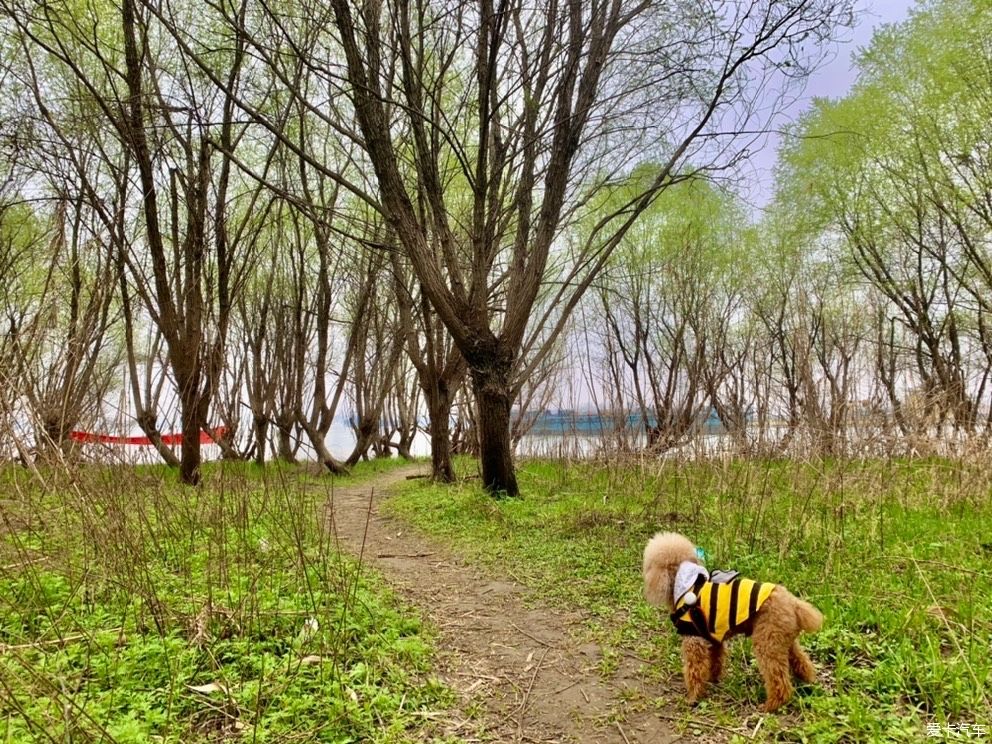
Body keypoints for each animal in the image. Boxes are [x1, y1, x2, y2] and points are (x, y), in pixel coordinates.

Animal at [644, 532, 820, 712]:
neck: (687, 585)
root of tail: (793, 603)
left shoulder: (694, 641)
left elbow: (695, 671)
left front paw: (692, 697)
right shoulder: (713, 639)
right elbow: (715, 661)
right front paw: (713, 680)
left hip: (767, 642)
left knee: (778, 680)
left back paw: (771, 705)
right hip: (784, 641)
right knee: (802, 661)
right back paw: (808, 682)